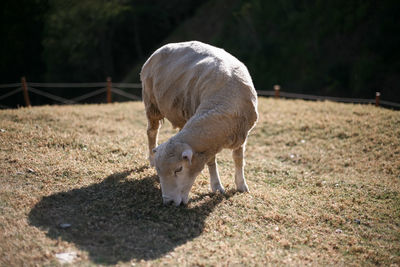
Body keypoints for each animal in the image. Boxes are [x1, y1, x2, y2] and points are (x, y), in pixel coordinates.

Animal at [142, 40, 258, 206]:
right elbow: (211, 161)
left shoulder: (242, 134)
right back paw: (151, 158)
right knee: (152, 131)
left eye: (179, 169)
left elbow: (238, 159)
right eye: (159, 171)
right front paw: (217, 186)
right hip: (151, 102)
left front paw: (241, 185)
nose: (168, 202)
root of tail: (162, 47)